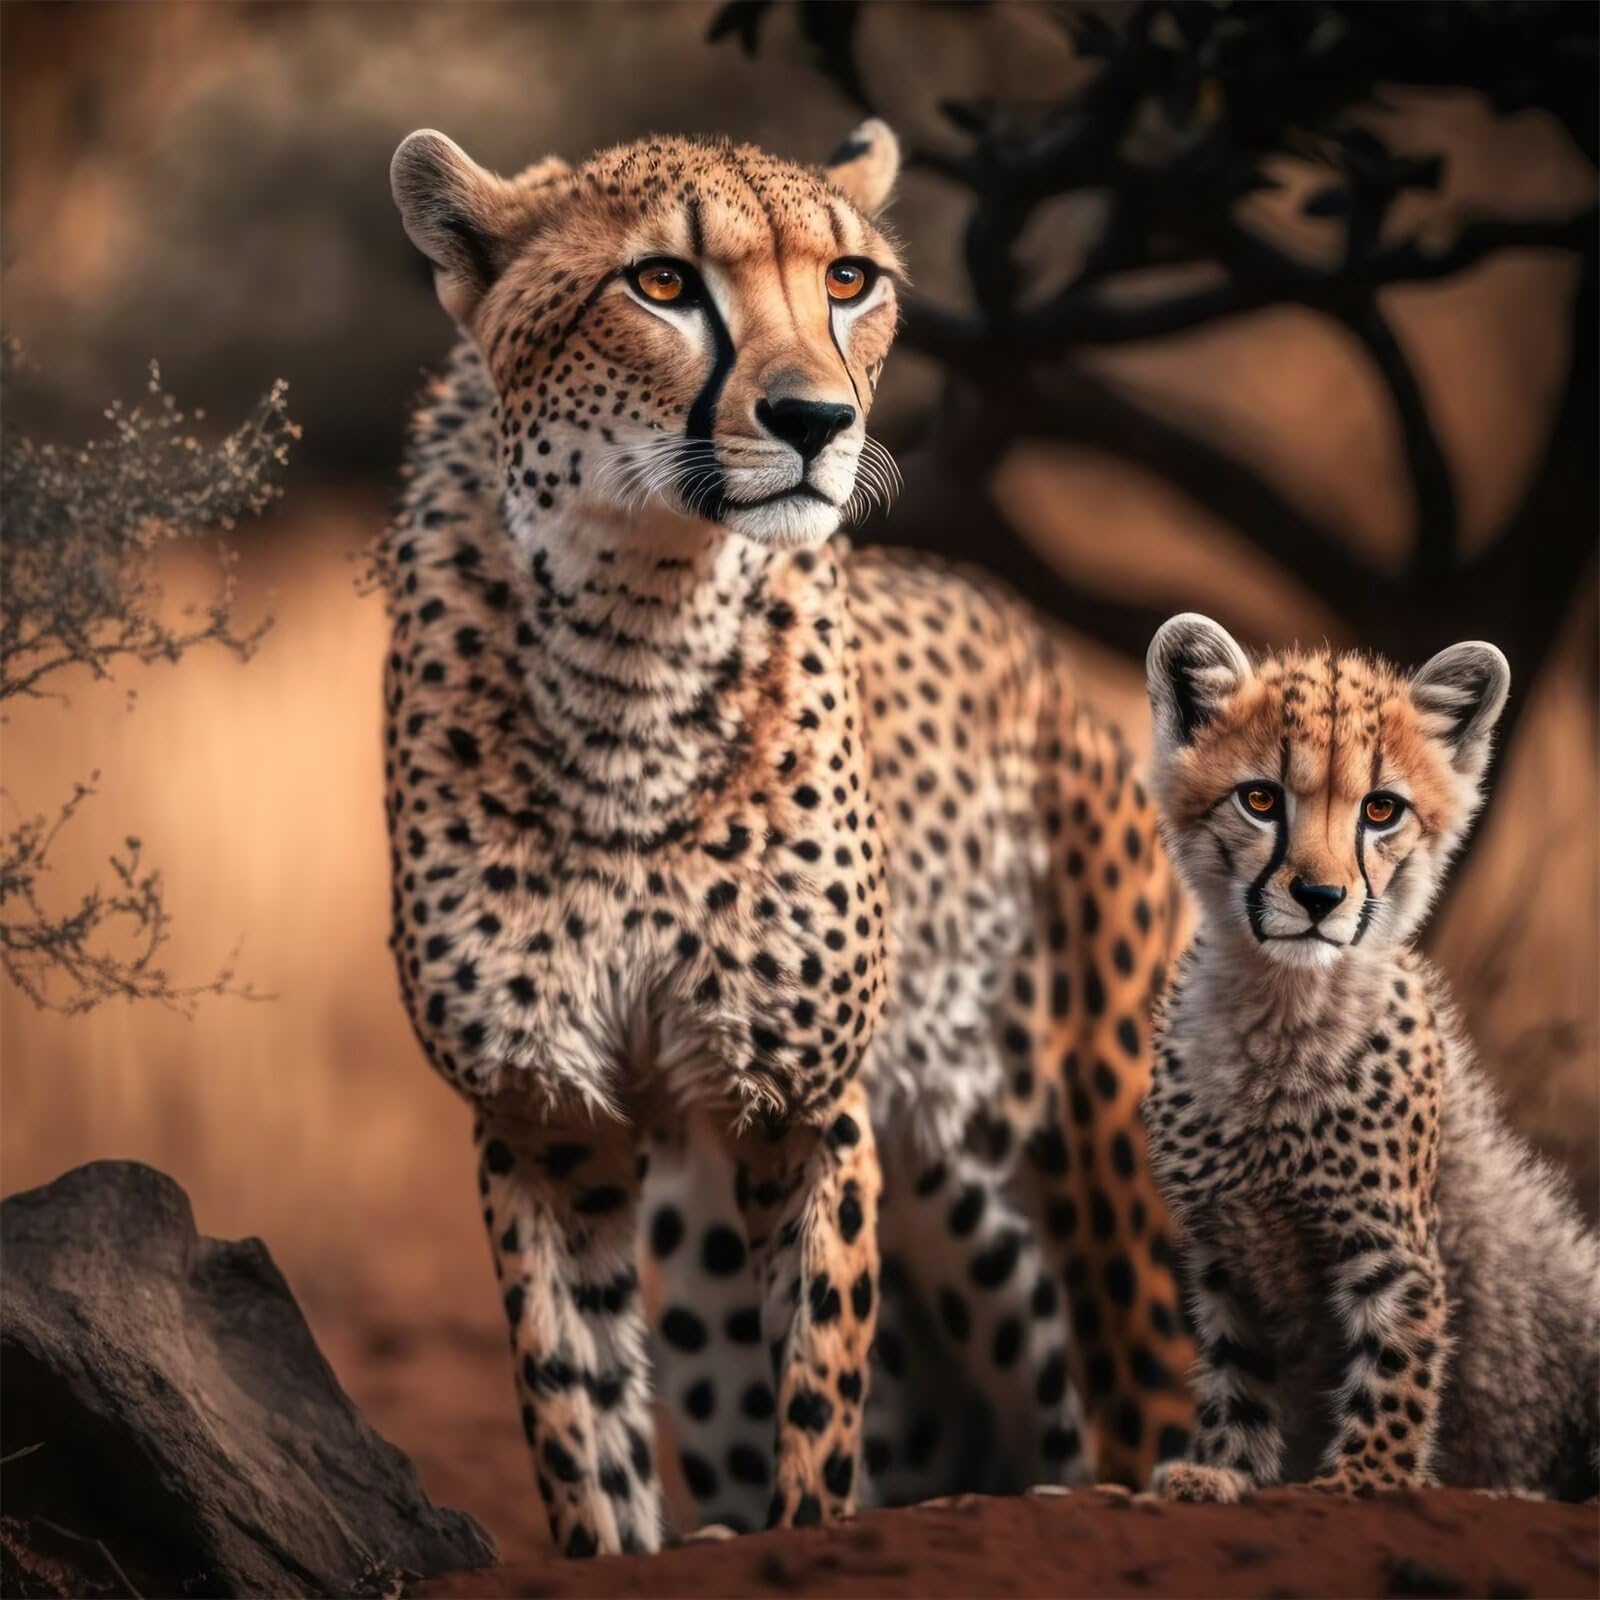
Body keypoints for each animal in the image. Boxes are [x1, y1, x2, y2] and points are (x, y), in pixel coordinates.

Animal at [380, 118, 1195, 1557]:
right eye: (661, 282)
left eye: (849, 280)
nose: (818, 421)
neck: (633, 633)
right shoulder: (541, 1115)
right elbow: (576, 1422)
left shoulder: (806, 1108)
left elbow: (818, 1409)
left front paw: (805, 1520)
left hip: (1079, 1161)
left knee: (1137, 1400)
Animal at [1140, 612, 1599, 1504]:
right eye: (1260, 799)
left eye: (1381, 810)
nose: (1319, 898)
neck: (1280, 1012)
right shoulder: (1225, 1251)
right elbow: (1236, 1377)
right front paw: (1224, 1471)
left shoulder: (1392, 1247)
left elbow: (1394, 1368)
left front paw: (1366, 1480)